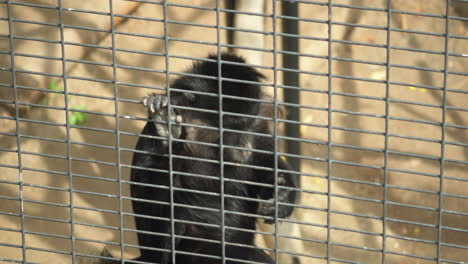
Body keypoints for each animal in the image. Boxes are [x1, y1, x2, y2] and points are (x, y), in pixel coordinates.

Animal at [130, 53, 298, 262]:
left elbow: (266, 161)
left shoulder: (259, 127)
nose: (245, 147)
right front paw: (165, 130)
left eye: (247, 126)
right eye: (229, 128)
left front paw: (281, 196)